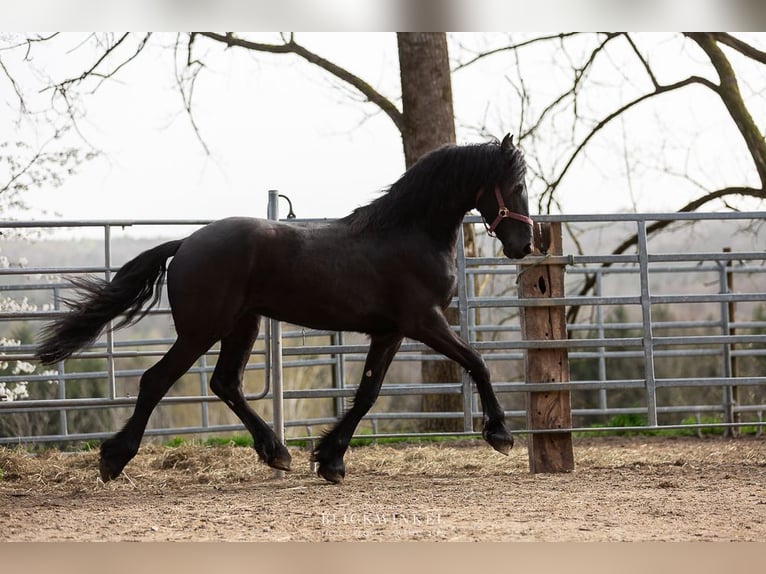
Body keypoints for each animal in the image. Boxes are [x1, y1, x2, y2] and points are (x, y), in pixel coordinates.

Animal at [36, 136, 536, 486]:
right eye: (517, 185)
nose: (524, 244)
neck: (408, 233)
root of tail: (187, 242)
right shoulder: (424, 321)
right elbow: (477, 361)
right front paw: (500, 435)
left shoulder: (389, 332)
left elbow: (367, 393)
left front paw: (330, 459)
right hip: (202, 330)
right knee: (156, 380)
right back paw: (113, 459)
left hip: (243, 324)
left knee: (225, 383)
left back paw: (276, 452)